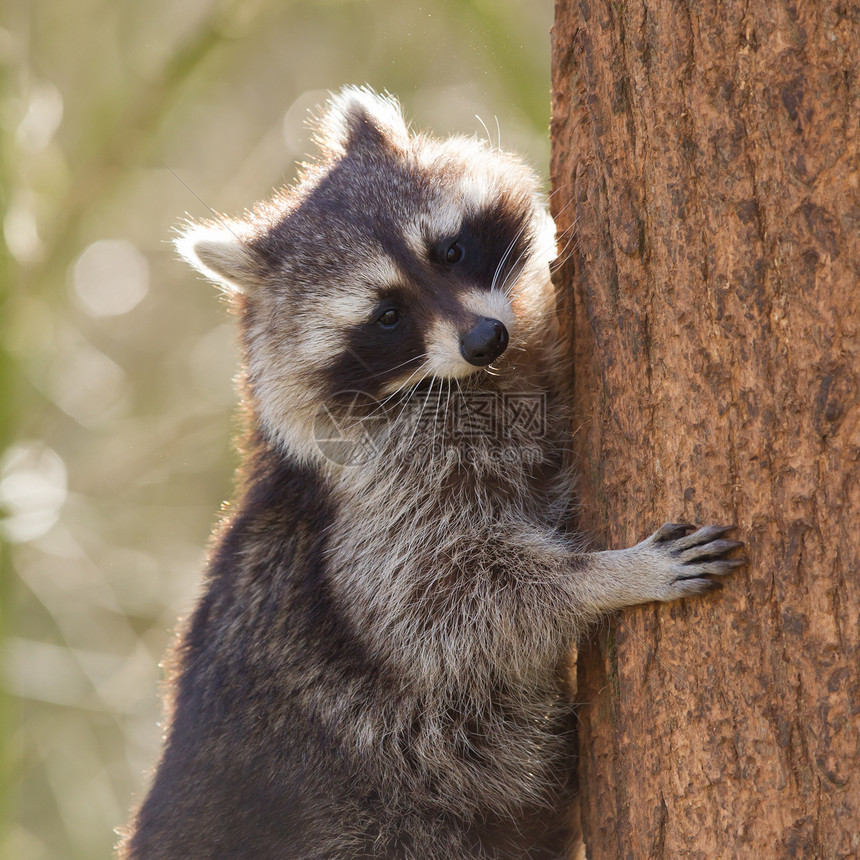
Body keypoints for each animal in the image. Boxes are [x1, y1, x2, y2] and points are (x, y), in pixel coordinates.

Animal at [117, 89, 744, 860]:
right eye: (387, 315)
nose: (484, 338)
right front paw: (607, 578)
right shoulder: (377, 496)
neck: (473, 378)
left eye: (449, 250)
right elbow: (436, 604)